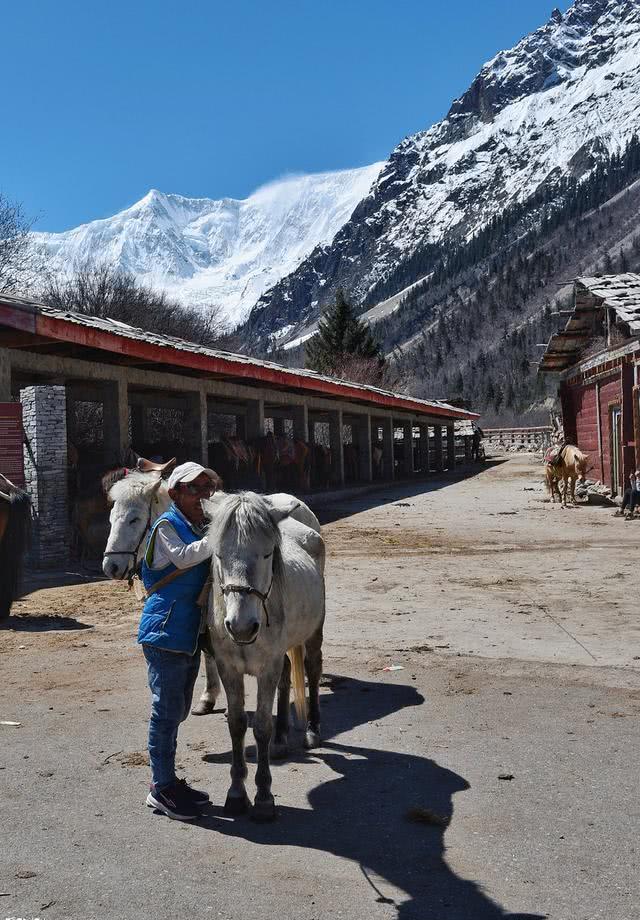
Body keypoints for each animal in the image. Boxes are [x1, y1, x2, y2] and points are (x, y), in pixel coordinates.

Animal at [204, 492, 324, 824]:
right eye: (218, 555)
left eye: (268, 553)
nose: (241, 626)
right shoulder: (228, 668)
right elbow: (237, 725)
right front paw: (236, 794)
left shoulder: (266, 668)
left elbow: (260, 728)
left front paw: (263, 798)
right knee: (287, 678)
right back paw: (282, 739)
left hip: (314, 633)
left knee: (312, 672)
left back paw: (312, 730)